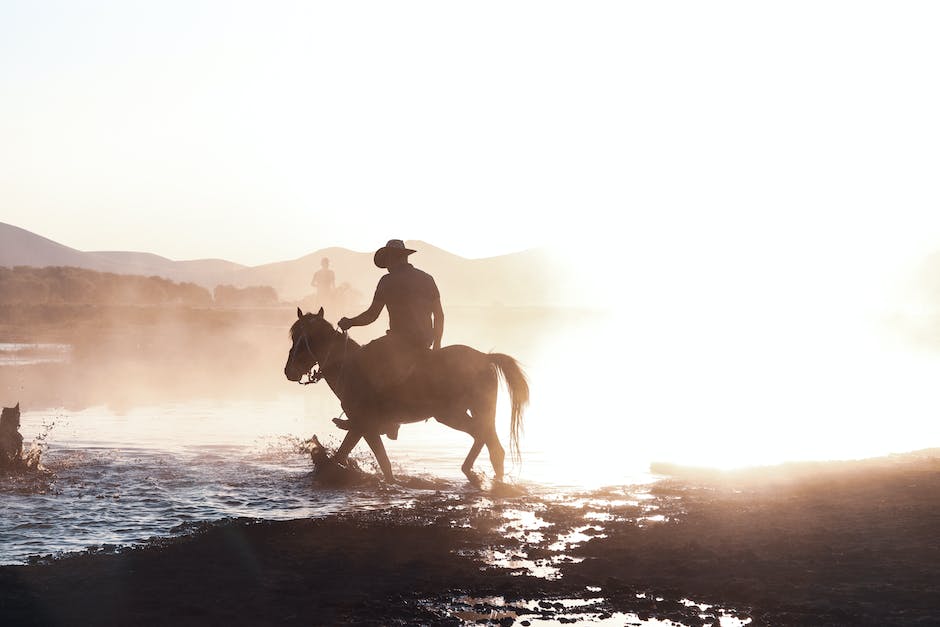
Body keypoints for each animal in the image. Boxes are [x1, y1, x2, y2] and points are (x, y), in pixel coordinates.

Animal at [282, 310, 524, 486]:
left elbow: (368, 460)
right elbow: (357, 457)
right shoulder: (362, 426)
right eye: (293, 337)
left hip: (451, 414)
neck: (348, 367)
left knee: (483, 436)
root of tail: (485, 358)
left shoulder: (363, 425)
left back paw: (469, 471)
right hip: (477, 410)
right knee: (494, 446)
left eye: (304, 339)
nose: (289, 371)